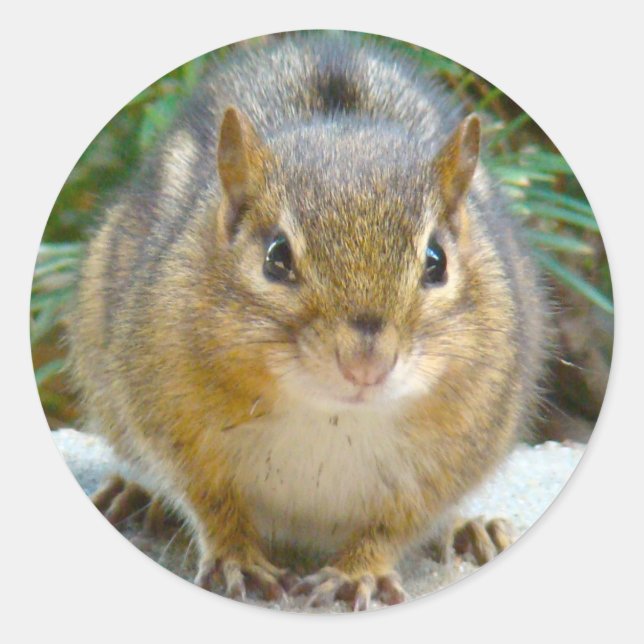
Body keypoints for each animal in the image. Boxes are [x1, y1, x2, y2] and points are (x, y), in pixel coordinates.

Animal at [70, 32, 551, 610]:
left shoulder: (457, 451)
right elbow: (210, 501)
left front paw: (357, 572)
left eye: (437, 261)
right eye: (276, 257)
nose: (366, 365)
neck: (331, 416)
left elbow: (396, 523)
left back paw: (468, 529)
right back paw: (137, 495)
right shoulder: (170, 418)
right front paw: (237, 557)